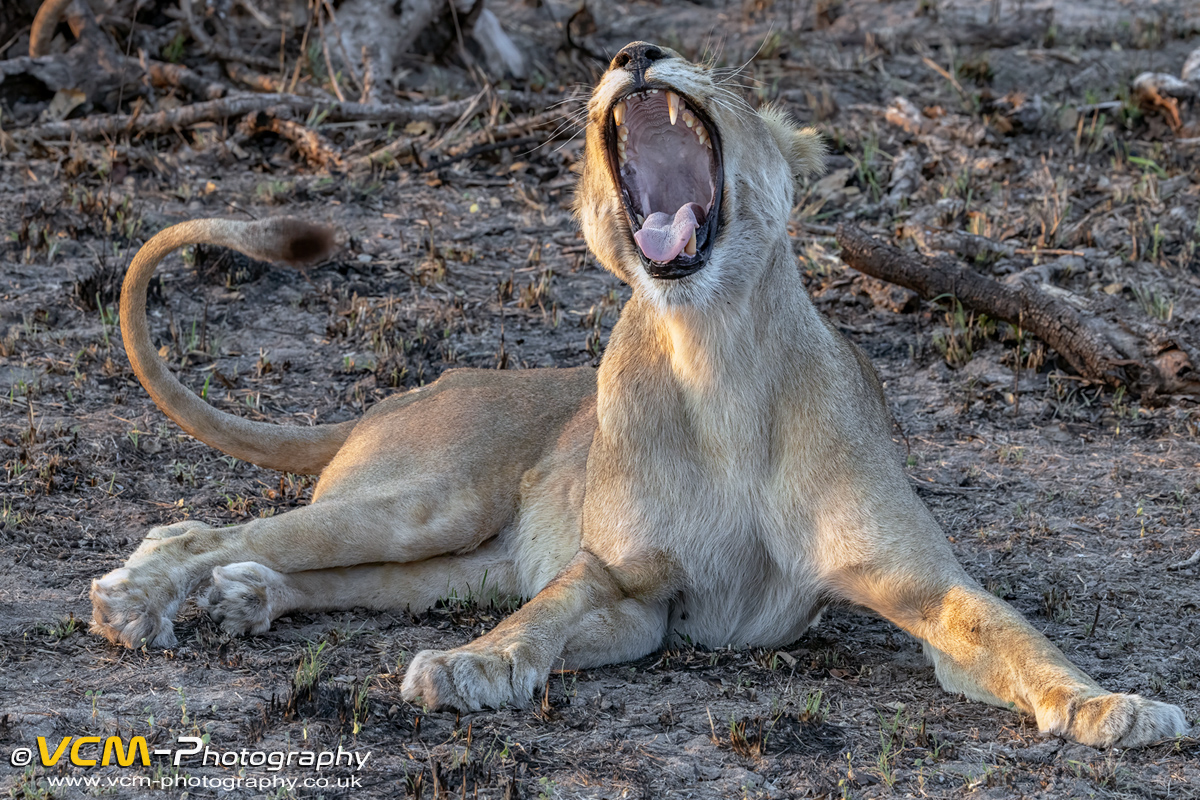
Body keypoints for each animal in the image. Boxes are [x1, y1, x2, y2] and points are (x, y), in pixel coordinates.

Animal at [90, 42, 1189, 748]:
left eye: (726, 80)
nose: (633, 50)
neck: (717, 359)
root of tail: (406, 391)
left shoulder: (913, 588)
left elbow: (1016, 638)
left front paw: (1116, 707)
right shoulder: (620, 582)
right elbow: (543, 616)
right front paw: (469, 669)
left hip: (458, 559)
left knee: (321, 569)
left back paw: (244, 598)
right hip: (425, 501)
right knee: (195, 526)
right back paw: (137, 600)